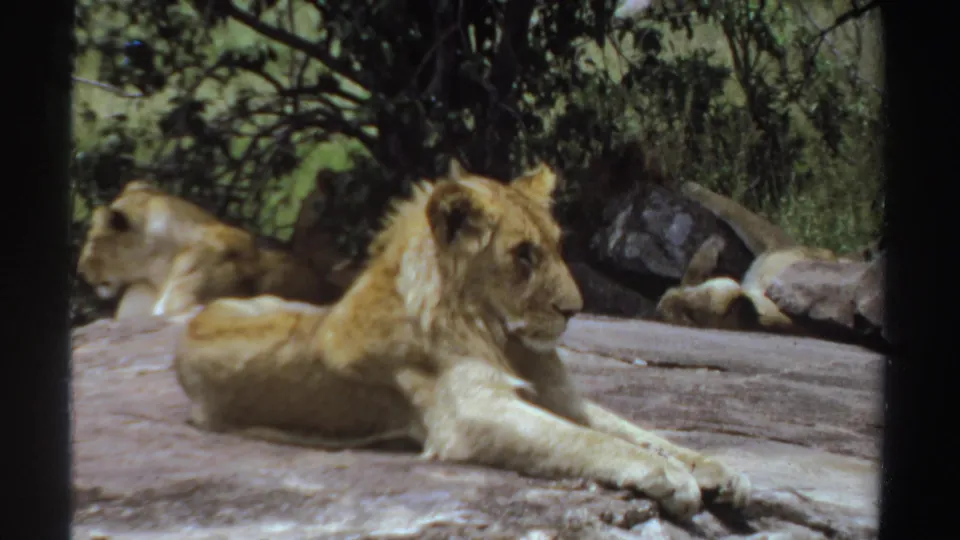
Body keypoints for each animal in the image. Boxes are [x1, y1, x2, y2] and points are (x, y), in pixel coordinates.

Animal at [173, 160, 751, 521]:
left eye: (557, 247)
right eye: (522, 254)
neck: (503, 336)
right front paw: (671, 477)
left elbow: (635, 430)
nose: (574, 309)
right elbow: (588, 441)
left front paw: (714, 469)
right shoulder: (470, 414)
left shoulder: (559, 396)